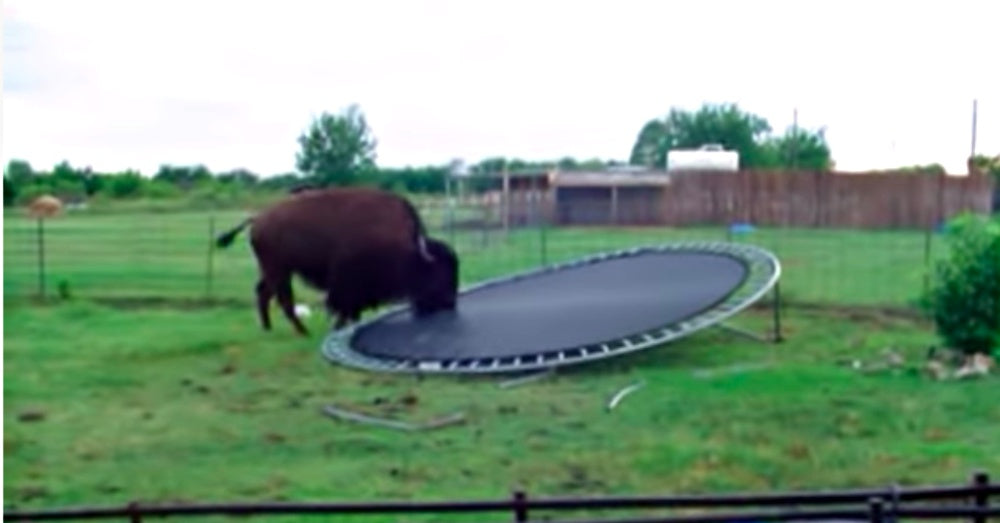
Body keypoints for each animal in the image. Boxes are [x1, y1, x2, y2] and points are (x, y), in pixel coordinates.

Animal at [215, 187, 460, 336]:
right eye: (440, 271)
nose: (450, 303)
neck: (410, 249)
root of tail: (258, 218)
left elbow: (351, 308)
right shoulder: (347, 283)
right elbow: (342, 305)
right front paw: (339, 326)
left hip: (275, 270)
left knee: (264, 293)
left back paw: (269, 328)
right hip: (279, 270)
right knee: (282, 299)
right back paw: (302, 332)